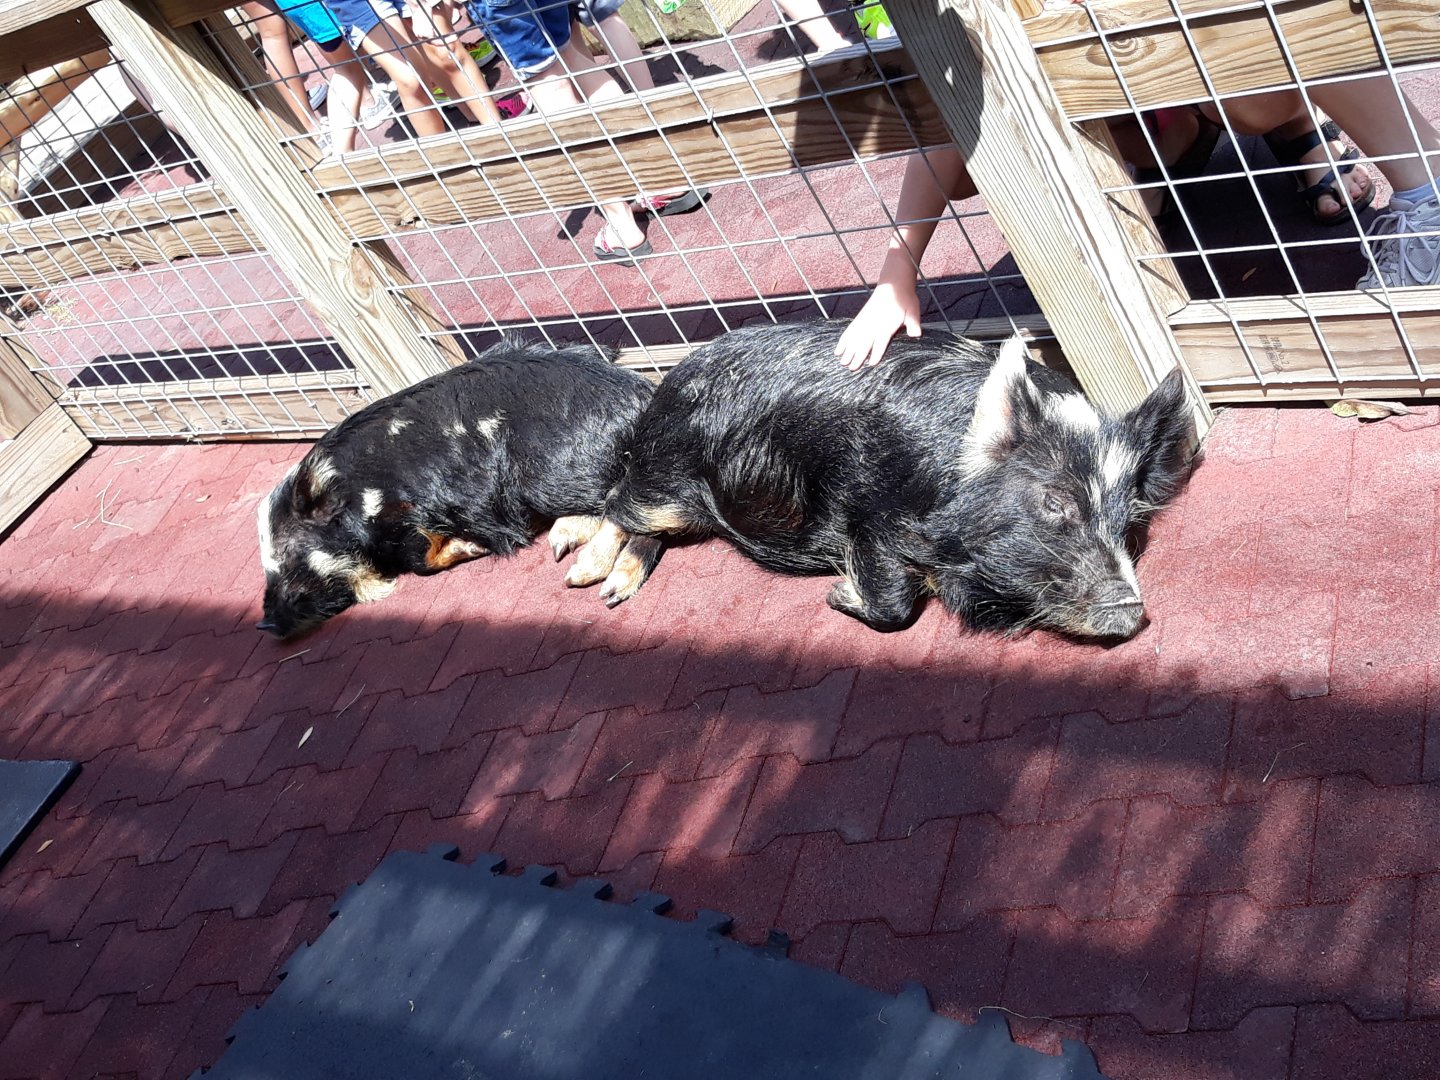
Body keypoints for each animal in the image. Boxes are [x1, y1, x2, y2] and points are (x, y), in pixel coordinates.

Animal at [256, 337, 652, 639]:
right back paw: (563, 546)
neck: (355, 498)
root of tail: (640, 393)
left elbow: (422, 561)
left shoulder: (409, 516)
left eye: (288, 553)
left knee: (624, 504)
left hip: (549, 476)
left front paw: (475, 547)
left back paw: (586, 579)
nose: (265, 624)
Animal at [562, 321, 1195, 639]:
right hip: (666, 474)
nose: (1132, 610)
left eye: (1129, 524)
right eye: (1054, 501)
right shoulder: (867, 512)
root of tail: (668, 381)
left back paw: (614, 589)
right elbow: (894, 606)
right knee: (619, 503)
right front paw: (837, 593)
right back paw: (583, 577)